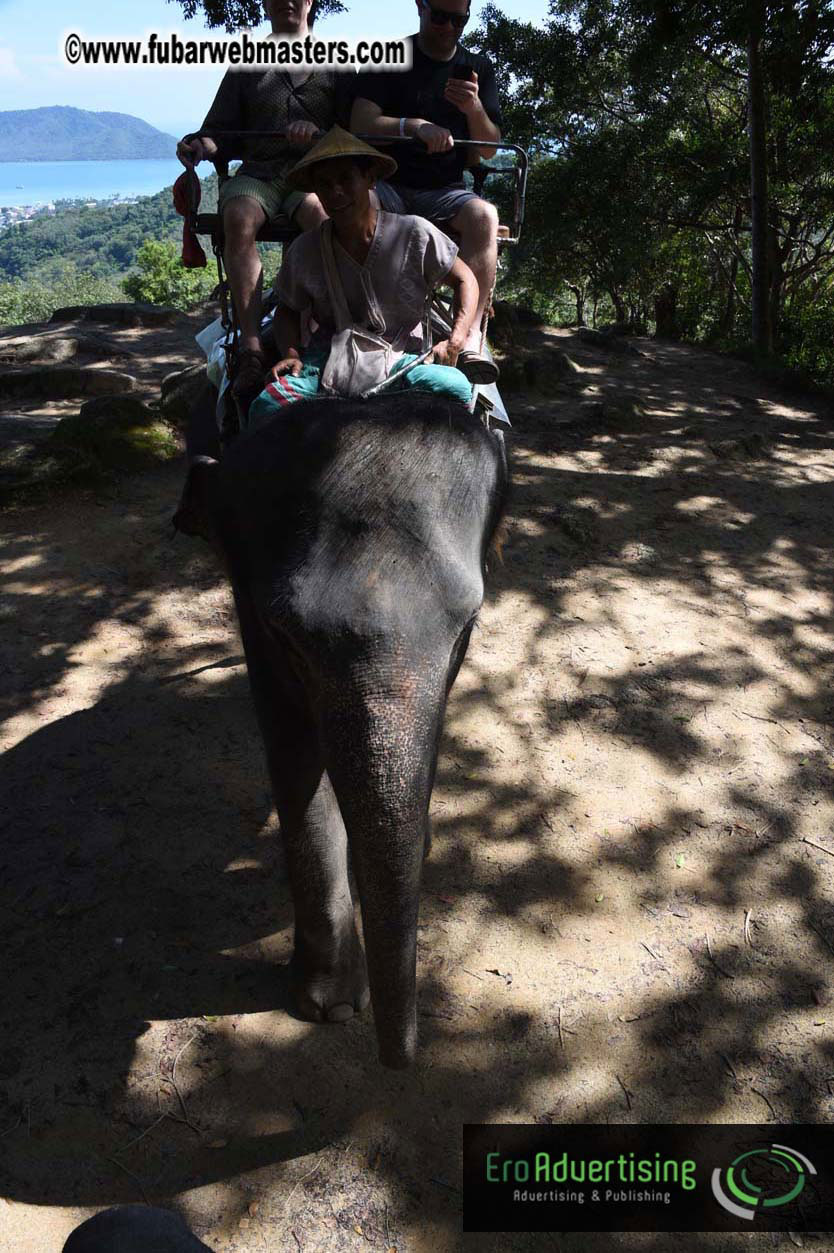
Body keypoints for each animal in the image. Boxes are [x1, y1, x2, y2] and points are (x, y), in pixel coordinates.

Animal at [175, 388, 508, 1068]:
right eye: (288, 635)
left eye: (468, 623)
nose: (400, 1061)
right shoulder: (252, 609)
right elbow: (292, 751)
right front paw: (326, 1006)